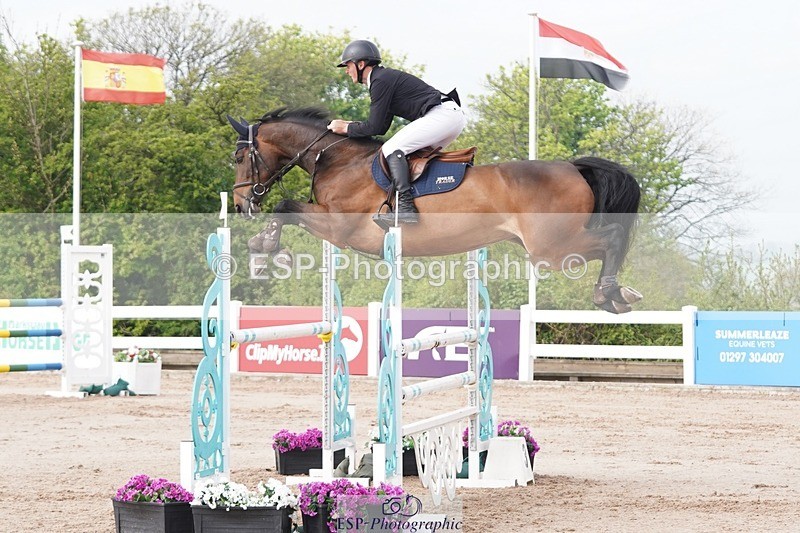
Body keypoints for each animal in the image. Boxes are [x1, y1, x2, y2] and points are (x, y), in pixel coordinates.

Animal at [228, 107, 642, 313]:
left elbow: (284, 206)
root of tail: (573, 167)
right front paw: (265, 250)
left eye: (239, 158)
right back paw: (616, 294)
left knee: (611, 238)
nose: (240, 204)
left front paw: (266, 250)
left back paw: (610, 293)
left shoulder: (337, 228)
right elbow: (285, 209)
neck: (337, 159)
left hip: (551, 248)